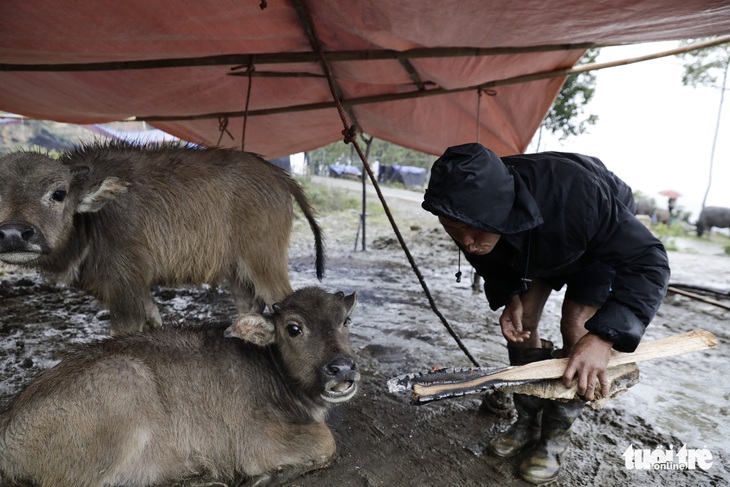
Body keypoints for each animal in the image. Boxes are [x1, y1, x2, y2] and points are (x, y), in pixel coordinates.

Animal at [0, 142, 324, 336]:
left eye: (59, 193)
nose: (14, 233)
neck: (92, 221)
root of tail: (279, 176)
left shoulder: (124, 289)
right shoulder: (138, 286)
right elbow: (153, 318)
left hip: (264, 263)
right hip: (238, 274)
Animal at [0, 286, 356, 487]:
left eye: (345, 321)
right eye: (294, 328)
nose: (342, 367)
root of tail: (8, 419)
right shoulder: (257, 443)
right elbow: (327, 440)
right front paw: (266, 478)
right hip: (125, 379)